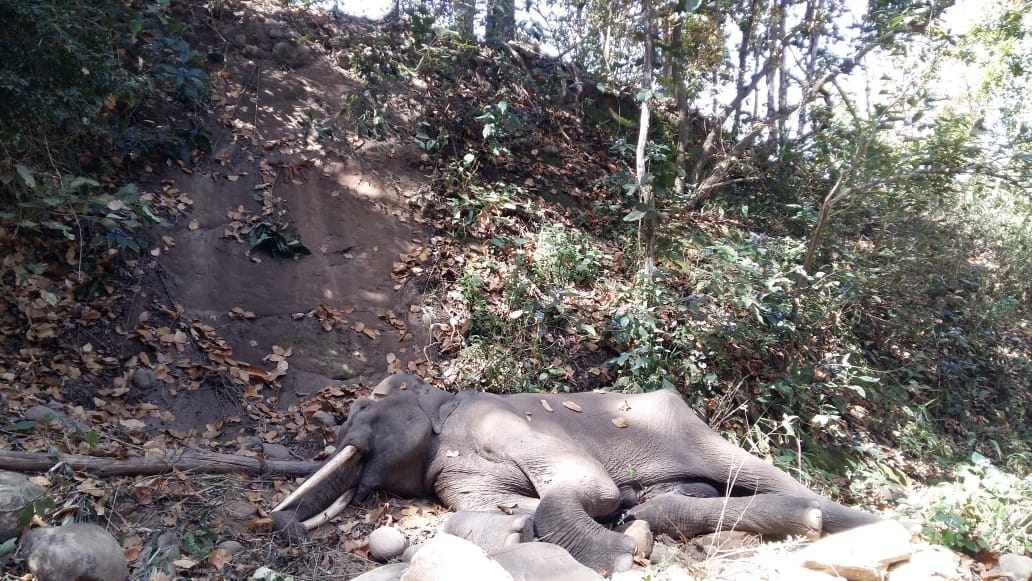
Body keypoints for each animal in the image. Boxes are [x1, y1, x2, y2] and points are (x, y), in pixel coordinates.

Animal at [270, 374, 879, 574]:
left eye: (364, 406)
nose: (280, 525)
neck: (443, 400)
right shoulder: (451, 470)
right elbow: (500, 503)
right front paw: (520, 526)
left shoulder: (503, 422)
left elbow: (592, 488)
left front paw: (620, 556)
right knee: (672, 499)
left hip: (691, 429)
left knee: (757, 472)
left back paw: (843, 523)